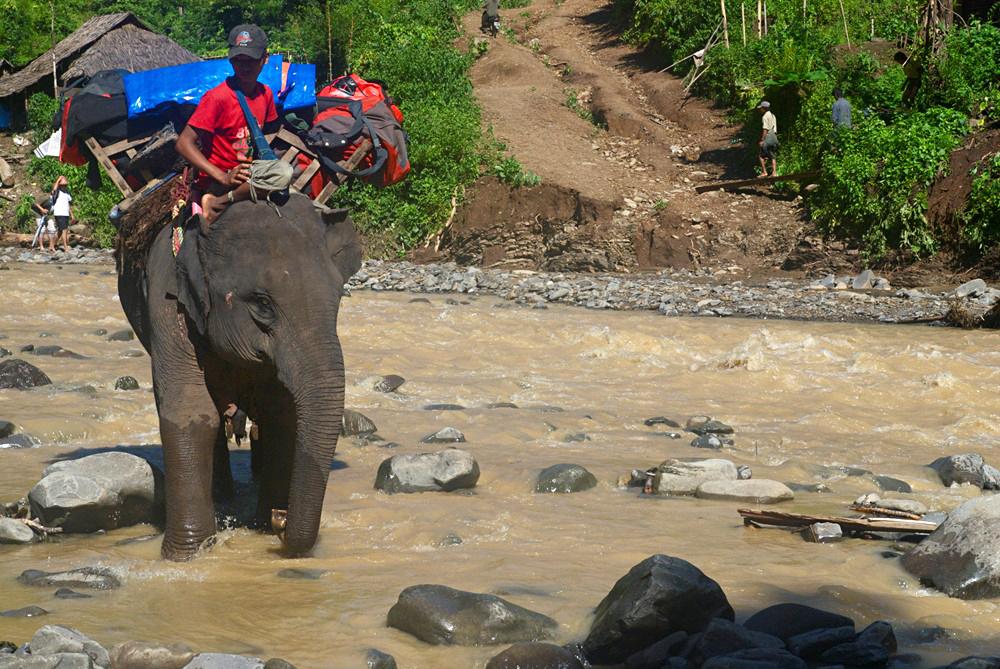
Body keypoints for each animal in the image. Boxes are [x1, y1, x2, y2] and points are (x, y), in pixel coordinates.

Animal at [118, 194, 361, 561]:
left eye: (339, 298)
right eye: (262, 303)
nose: (281, 519)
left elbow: (282, 414)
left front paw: (263, 526)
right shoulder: (166, 301)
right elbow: (191, 412)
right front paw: (186, 555)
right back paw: (222, 496)